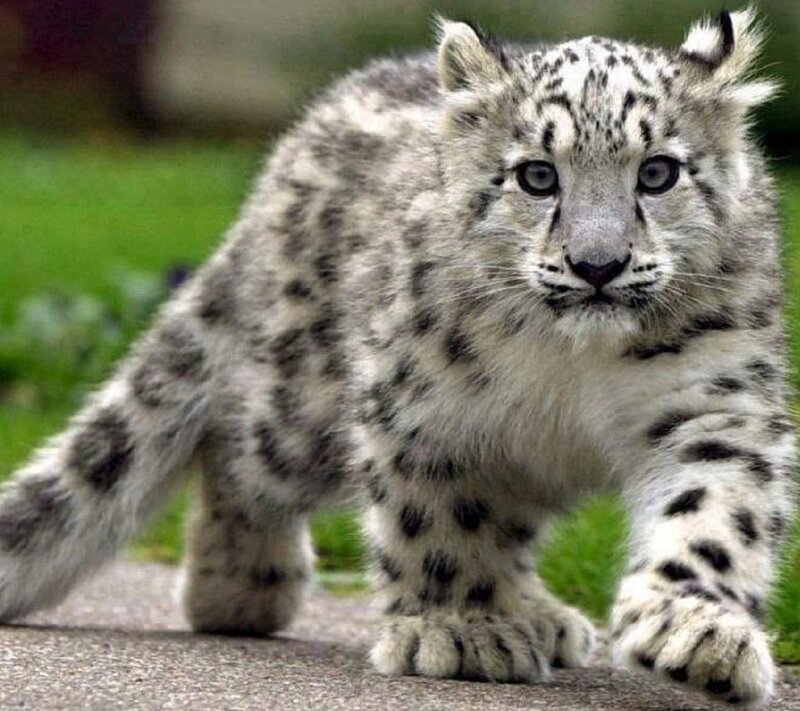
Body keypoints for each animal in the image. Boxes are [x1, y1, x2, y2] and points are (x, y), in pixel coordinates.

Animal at [0, 7, 795, 707]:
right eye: (537, 175)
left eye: (658, 172)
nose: (597, 265)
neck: (579, 367)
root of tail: (279, 166)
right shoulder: (427, 403)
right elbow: (441, 519)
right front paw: (462, 630)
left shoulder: (716, 404)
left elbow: (714, 512)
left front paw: (697, 633)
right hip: (299, 409)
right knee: (235, 446)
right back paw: (240, 587)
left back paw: (541, 613)